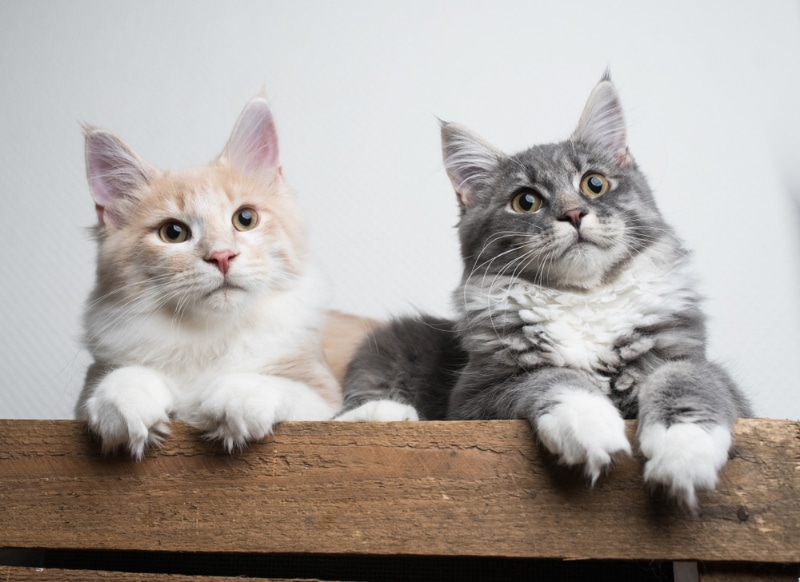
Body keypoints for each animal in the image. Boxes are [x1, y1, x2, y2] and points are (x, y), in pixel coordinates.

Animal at [78, 97, 344, 460]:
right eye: (173, 233)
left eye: (245, 219)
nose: (222, 256)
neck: (209, 335)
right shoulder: (92, 379)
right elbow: (121, 377)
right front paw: (125, 399)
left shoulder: (323, 390)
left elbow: (279, 385)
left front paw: (240, 397)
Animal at [340, 75, 752, 512]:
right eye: (526, 201)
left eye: (594, 184)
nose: (573, 214)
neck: (582, 297)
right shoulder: (474, 398)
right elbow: (551, 376)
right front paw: (590, 421)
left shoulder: (691, 360)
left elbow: (686, 378)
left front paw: (684, 450)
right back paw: (384, 412)